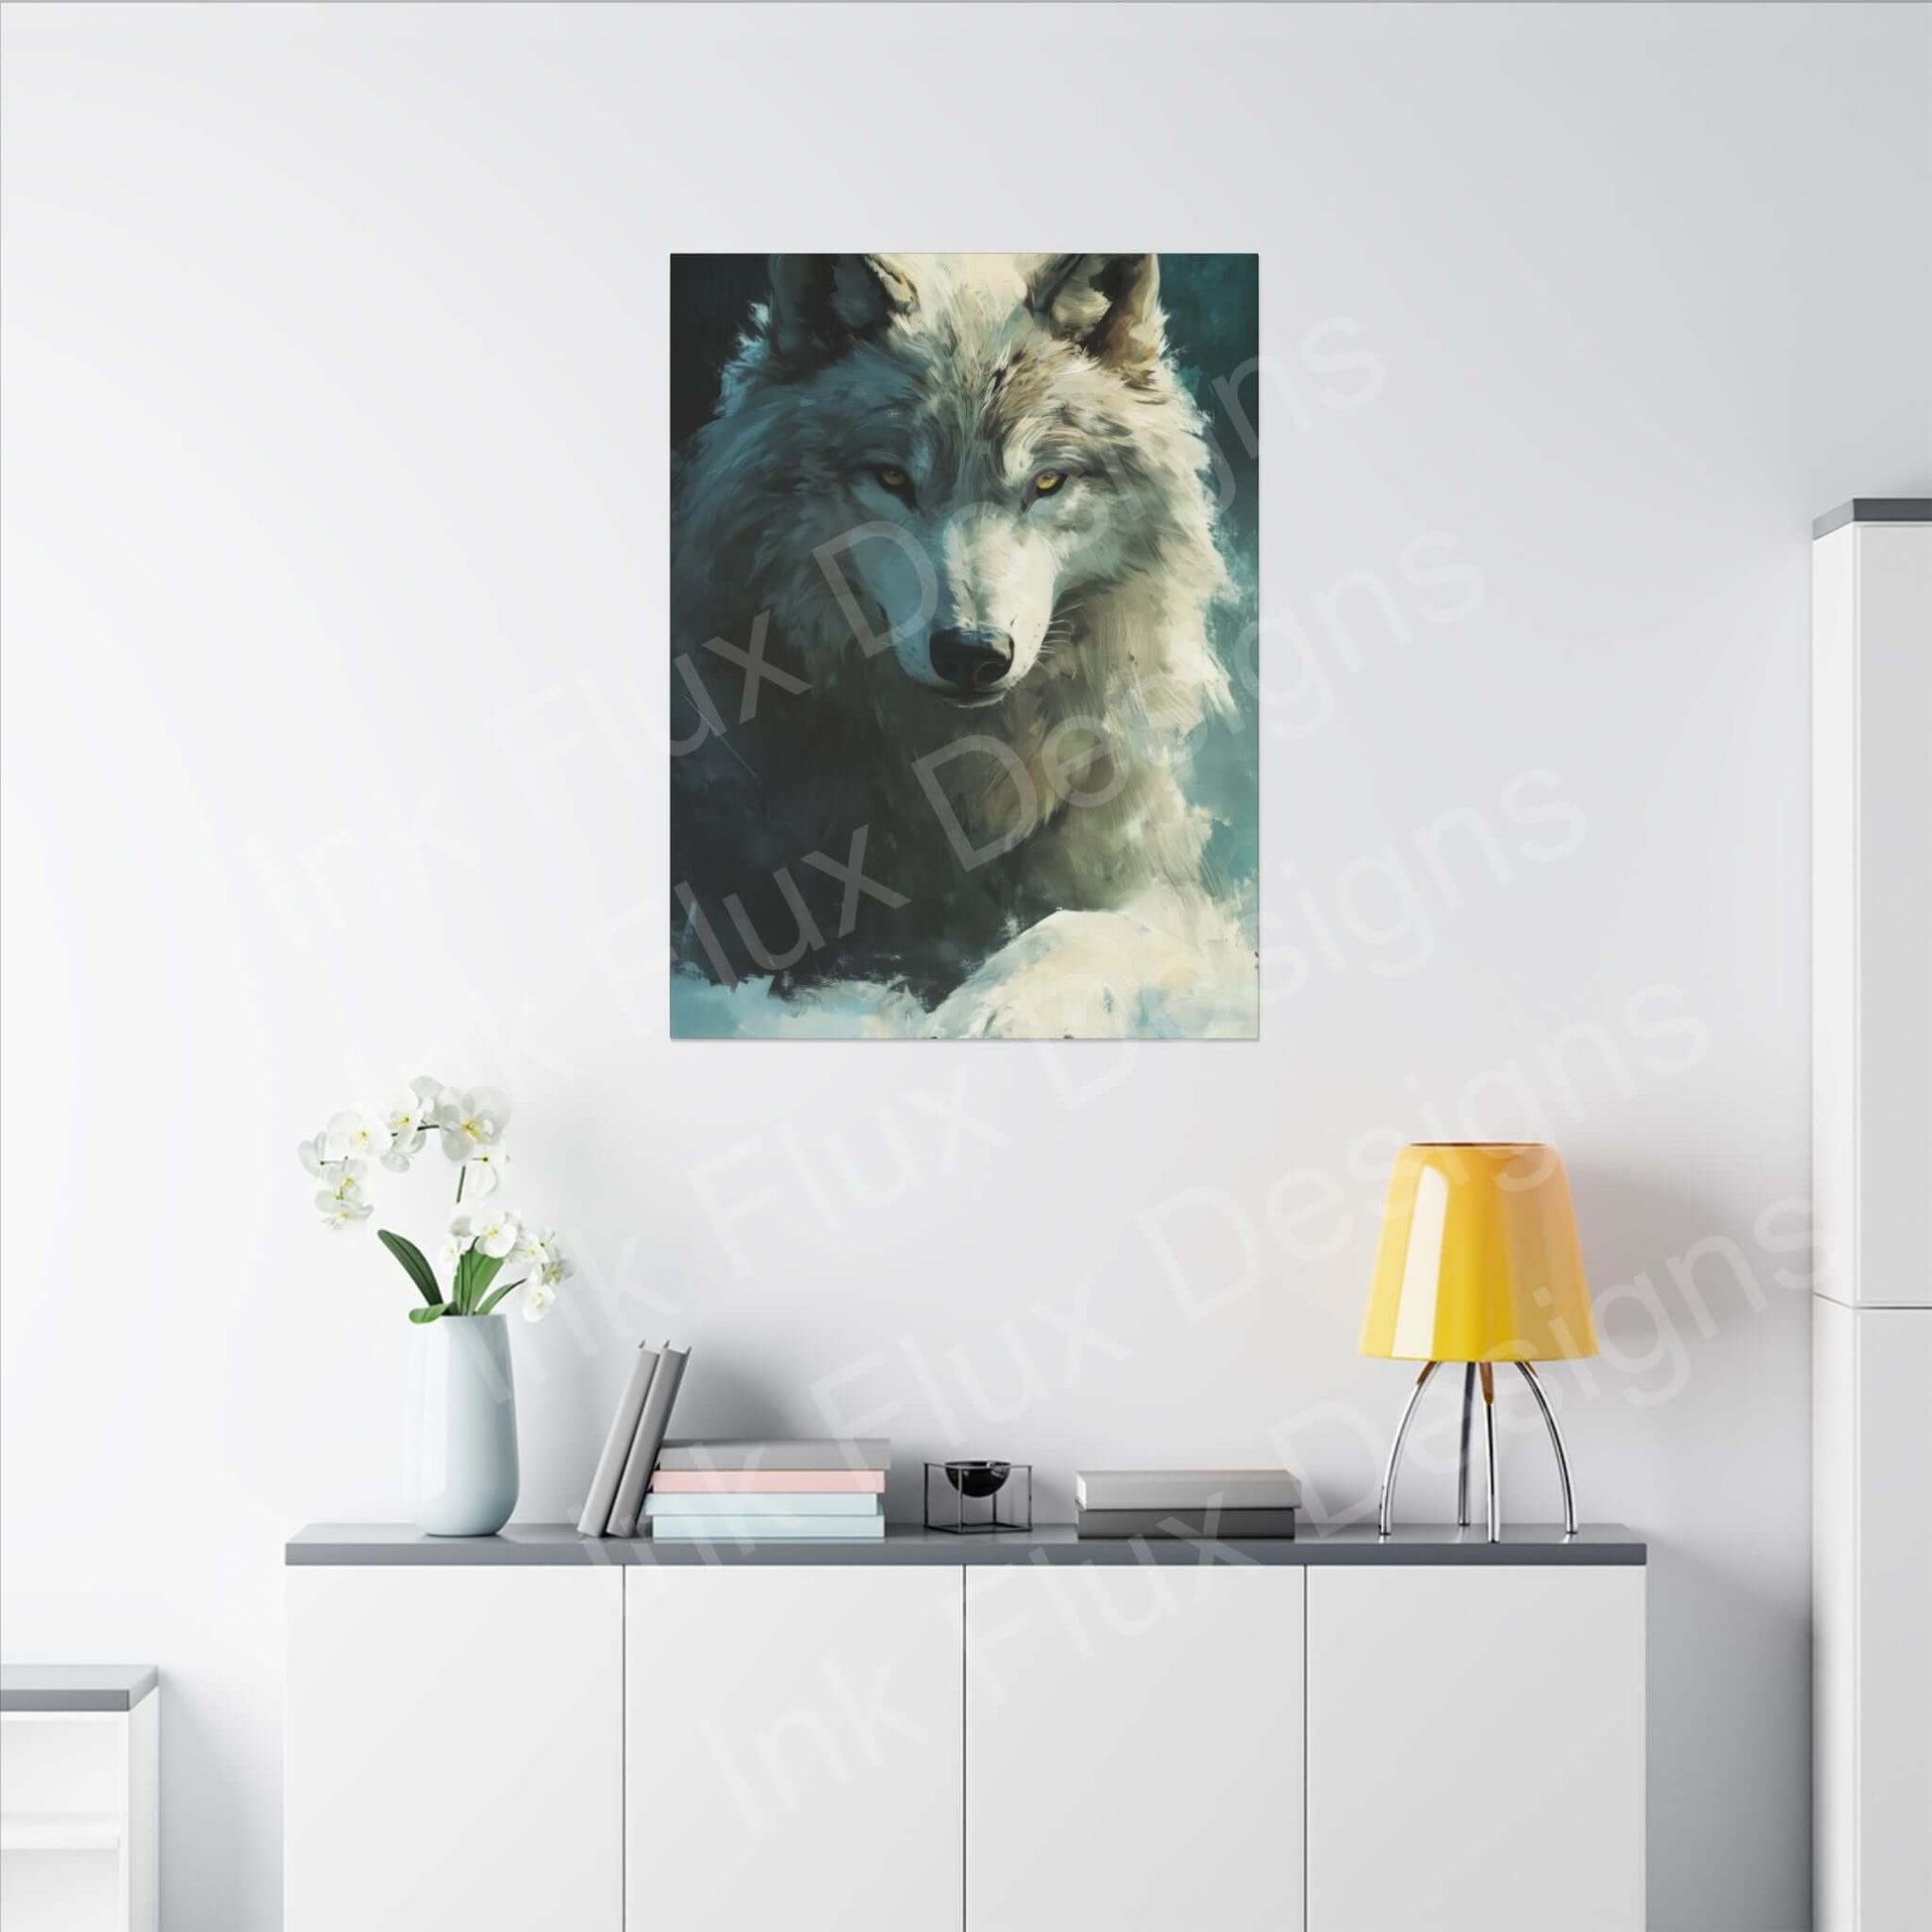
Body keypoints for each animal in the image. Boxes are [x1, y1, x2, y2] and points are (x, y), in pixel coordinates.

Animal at [670, 253, 1255, 1038]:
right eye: (893, 477)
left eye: (1048, 481)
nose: (973, 654)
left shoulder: (1161, 893)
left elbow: (1080, 928)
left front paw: (993, 1011)